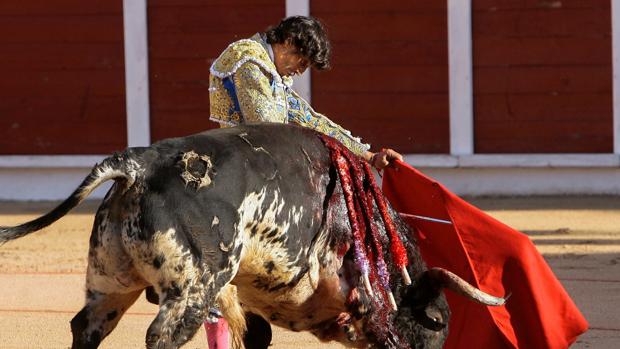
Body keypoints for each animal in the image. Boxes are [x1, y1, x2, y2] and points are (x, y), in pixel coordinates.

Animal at [0, 123, 504, 348]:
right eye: (436, 323)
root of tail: (138, 164)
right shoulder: (371, 309)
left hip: (109, 282)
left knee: (86, 327)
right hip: (192, 286)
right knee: (163, 335)